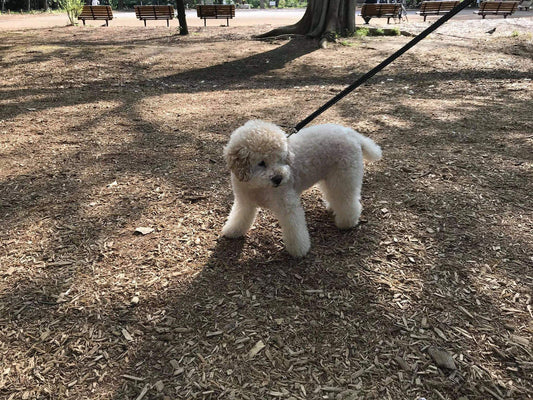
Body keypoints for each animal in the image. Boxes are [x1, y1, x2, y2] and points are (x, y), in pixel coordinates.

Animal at [221, 119, 382, 256]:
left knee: (348, 201)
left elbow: (295, 229)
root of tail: (352, 134)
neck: (258, 186)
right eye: (261, 163)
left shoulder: (287, 205)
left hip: (344, 177)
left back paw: (346, 223)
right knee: (335, 195)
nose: (279, 178)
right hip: (331, 178)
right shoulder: (244, 202)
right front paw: (232, 231)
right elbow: (239, 217)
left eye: (281, 159)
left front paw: (299, 250)